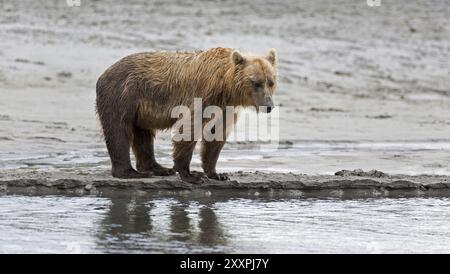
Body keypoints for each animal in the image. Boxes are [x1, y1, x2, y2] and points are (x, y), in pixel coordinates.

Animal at [95, 47, 278, 183]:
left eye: (271, 82)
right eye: (256, 82)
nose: (268, 106)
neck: (225, 87)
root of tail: (103, 74)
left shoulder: (226, 107)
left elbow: (216, 135)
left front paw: (217, 173)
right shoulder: (201, 96)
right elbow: (189, 127)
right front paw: (191, 174)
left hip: (140, 110)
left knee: (143, 135)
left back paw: (157, 168)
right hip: (122, 94)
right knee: (119, 130)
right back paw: (130, 172)